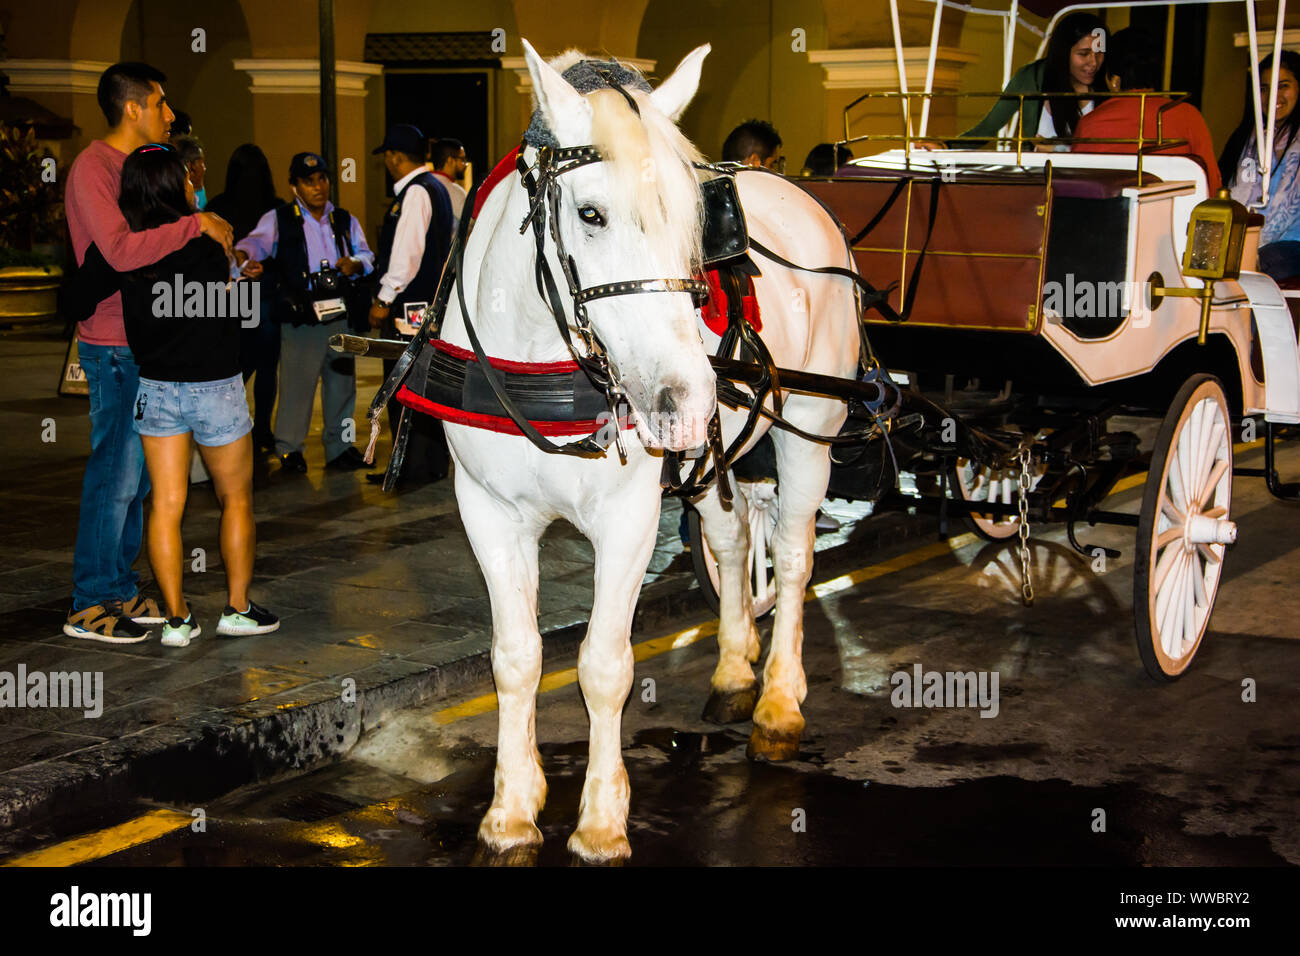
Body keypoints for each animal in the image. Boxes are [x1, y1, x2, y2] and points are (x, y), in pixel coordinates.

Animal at [436, 39, 863, 868]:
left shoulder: (628, 519)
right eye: (591, 213)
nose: (686, 396)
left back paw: (778, 701)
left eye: (695, 217)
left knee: (794, 558)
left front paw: (601, 821)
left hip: (810, 425)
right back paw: (733, 668)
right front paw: (511, 810)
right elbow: (516, 656)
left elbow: (604, 665)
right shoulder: (489, 511)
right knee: (732, 543)